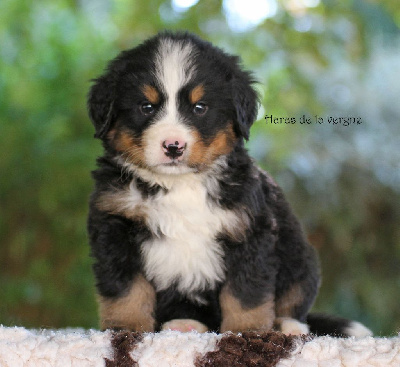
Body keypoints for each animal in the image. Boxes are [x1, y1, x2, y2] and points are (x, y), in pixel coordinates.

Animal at [86, 33, 372, 338]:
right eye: (146, 107)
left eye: (200, 108)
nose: (173, 146)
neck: (180, 185)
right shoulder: (114, 225)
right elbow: (126, 289)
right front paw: (125, 330)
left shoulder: (249, 230)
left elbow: (246, 294)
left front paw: (247, 334)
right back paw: (185, 324)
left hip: (301, 261)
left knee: (294, 303)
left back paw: (288, 327)